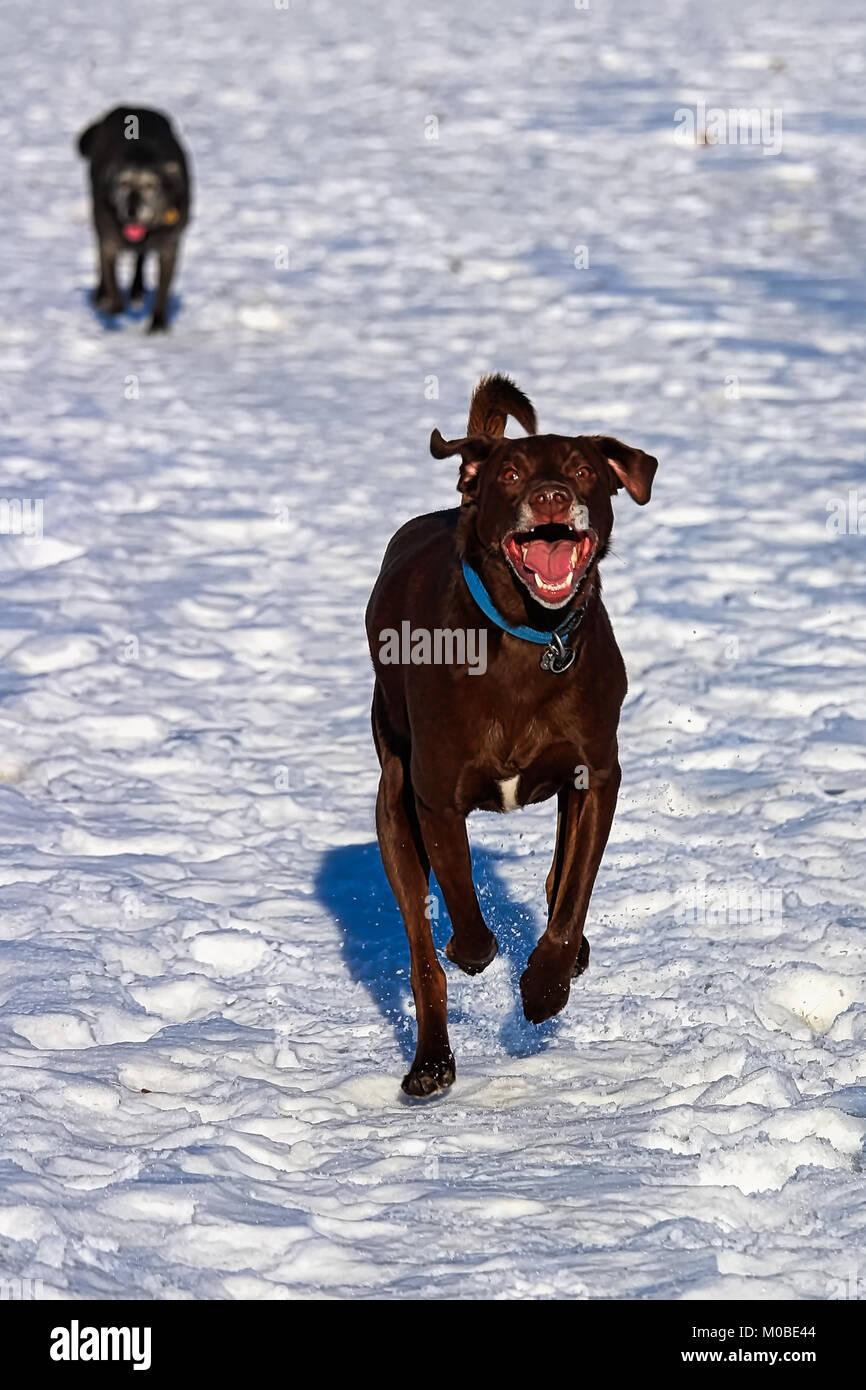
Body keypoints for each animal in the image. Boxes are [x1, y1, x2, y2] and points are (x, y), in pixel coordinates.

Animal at [78, 108, 191, 330]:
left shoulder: (169, 246)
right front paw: (114, 307)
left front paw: (158, 322)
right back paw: (102, 295)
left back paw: (137, 290)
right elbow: (110, 276)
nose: (132, 210)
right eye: (122, 184)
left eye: (151, 185)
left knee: (140, 258)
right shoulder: (109, 240)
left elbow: (163, 289)